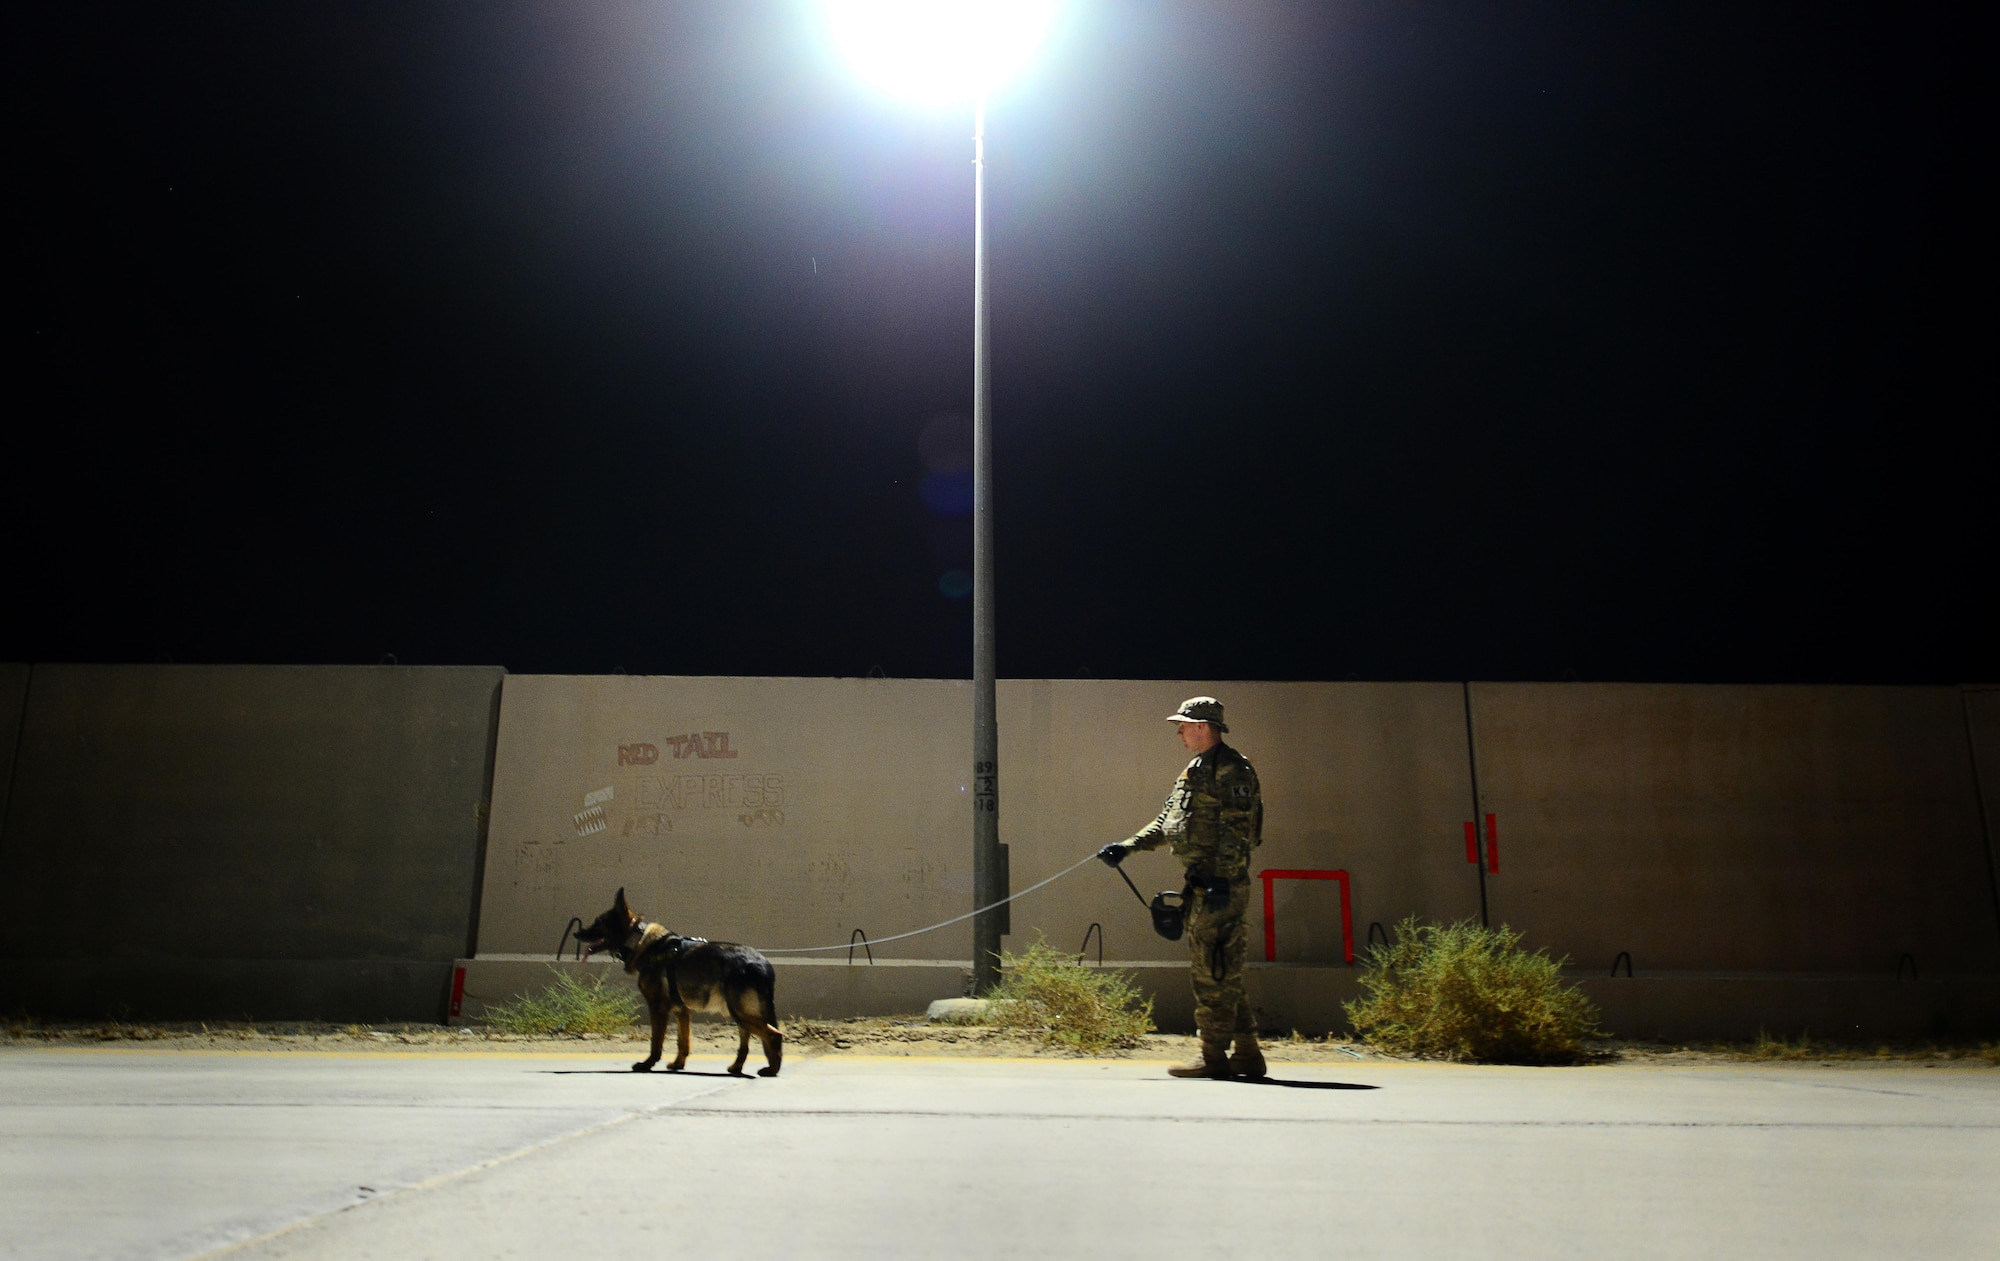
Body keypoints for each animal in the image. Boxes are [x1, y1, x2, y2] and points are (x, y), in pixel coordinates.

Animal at [576, 888, 784, 1080]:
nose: (576, 933)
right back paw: (737, 1067)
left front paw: (647, 1064)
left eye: (598, 922)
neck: (640, 942)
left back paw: (772, 1070)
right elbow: (683, 1042)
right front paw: (678, 1064)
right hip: (739, 1014)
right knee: (748, 1041)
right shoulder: (682, 1011)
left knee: (774, 1034)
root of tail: (763, 964)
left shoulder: (658, 1008)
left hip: (740, 1012)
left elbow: (656, 1041)